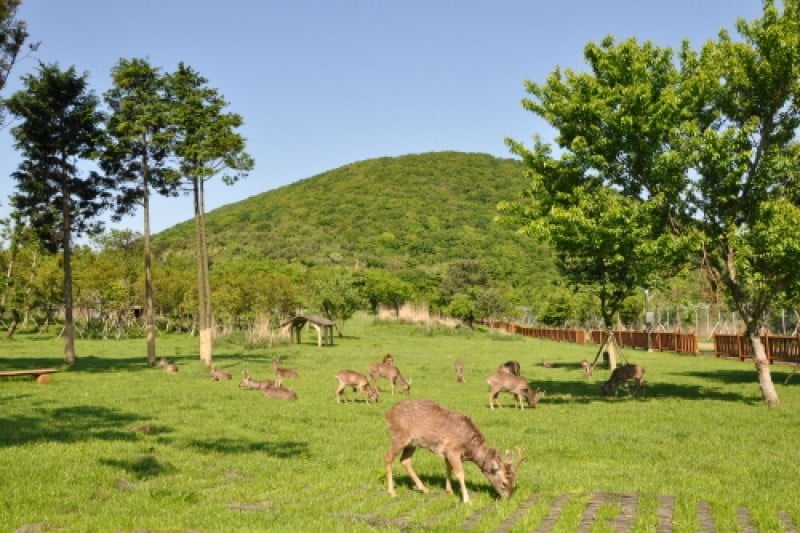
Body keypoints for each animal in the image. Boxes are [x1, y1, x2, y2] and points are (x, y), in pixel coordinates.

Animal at [384, 398, 524, 503]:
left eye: (514, 482)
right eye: (504, 483)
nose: (507, 499)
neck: (469, 447)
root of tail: (388, 413)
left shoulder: (447, 452)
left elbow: (448, 468)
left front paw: (449, 491)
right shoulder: (453, 450)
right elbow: (460, 473)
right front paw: (466, 500)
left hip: (412, 443)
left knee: (405, 460)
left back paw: (424, 489)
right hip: (399, 436)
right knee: (388, 457)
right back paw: (392, 492)